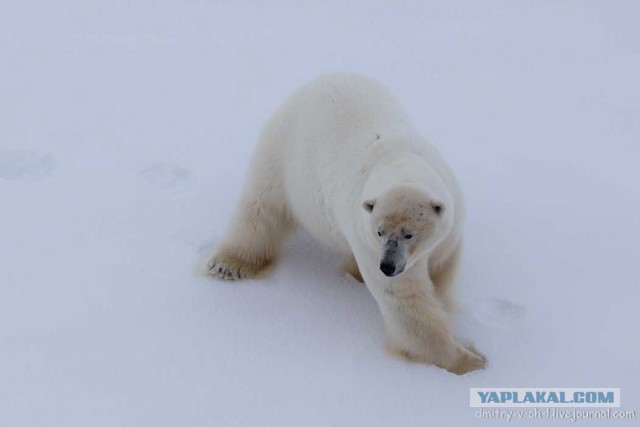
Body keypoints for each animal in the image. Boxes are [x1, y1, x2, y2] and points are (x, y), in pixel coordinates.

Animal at [209, 73, 484, 374]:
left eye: (409, 234)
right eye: (380, 232)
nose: (387, 266)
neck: (398, 160)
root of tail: (321, 79)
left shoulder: (450, 226)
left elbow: (441, 268)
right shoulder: (367, 239)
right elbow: (406, 301)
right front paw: (470, 362)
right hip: (283, 152)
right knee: (261, 209)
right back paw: (228, 264)